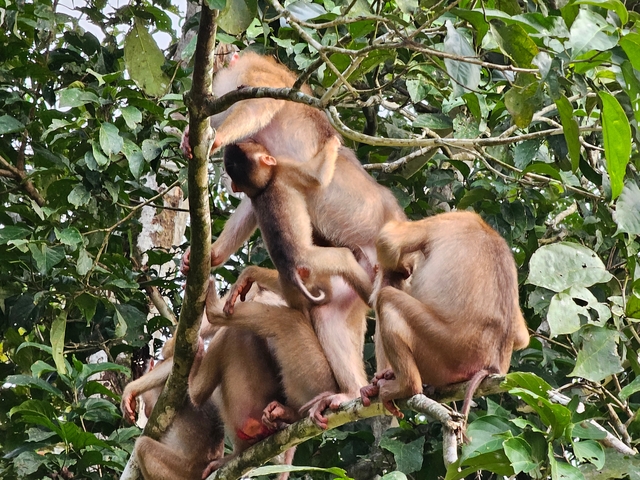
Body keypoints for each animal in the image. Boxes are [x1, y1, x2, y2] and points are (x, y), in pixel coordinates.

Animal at [222, 141, 373, 307]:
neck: (263, 187)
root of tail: (292, 271)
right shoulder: (288, 169)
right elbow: (318, 178)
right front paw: (332, 143)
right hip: (314, 261)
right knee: (345, 258)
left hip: (291, 281)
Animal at [359, 211, 530, 421]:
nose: (407, 270)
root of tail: (492, 364)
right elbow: (522, 338)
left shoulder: (451, 219)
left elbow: (388, 241)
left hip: (443, 351)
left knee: (386, 299)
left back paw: (405, 386)